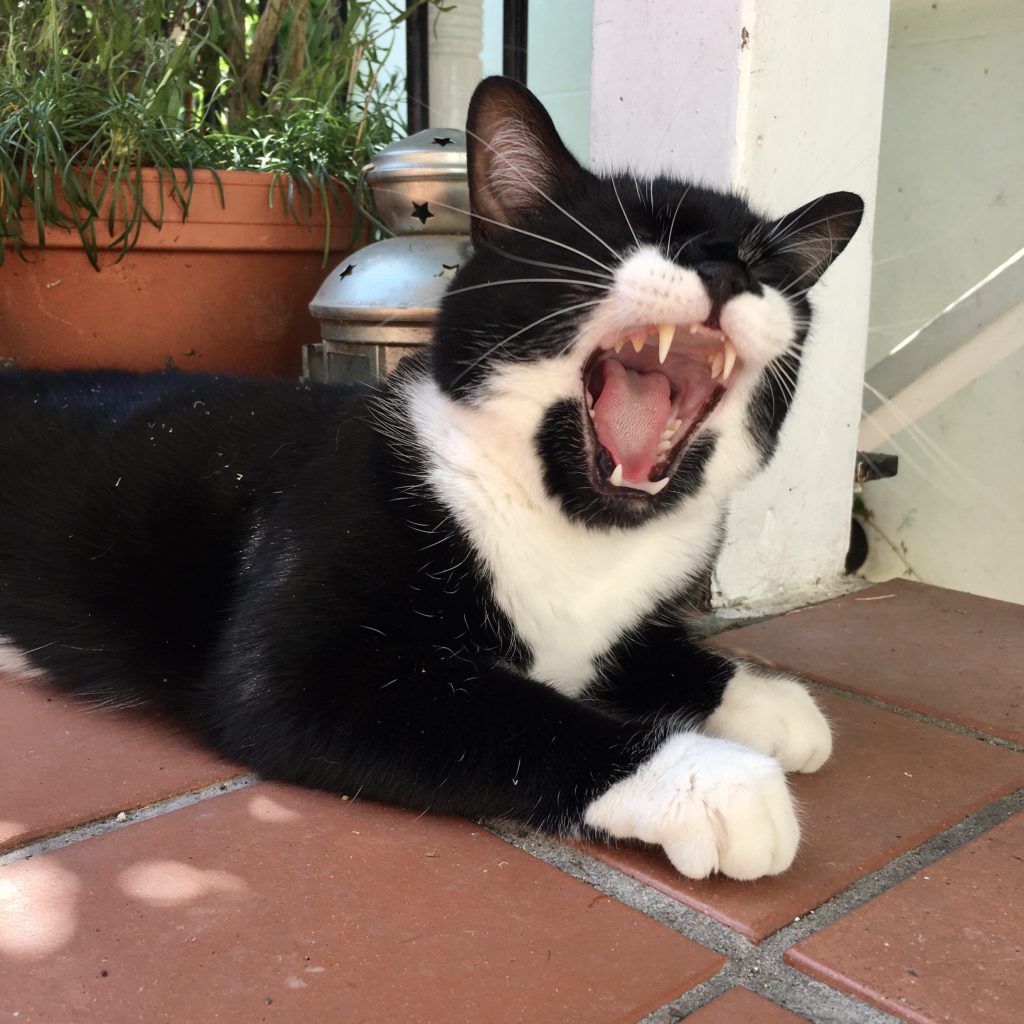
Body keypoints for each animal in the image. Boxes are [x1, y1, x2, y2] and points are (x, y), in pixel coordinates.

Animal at [2, 77, 864, 880]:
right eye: (629, 231)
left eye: (764, 265)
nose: (723, 267)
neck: (575, 523)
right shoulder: (299, 669)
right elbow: (514, 714)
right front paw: (707, 778)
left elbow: (645, 650)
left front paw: (759, 695)